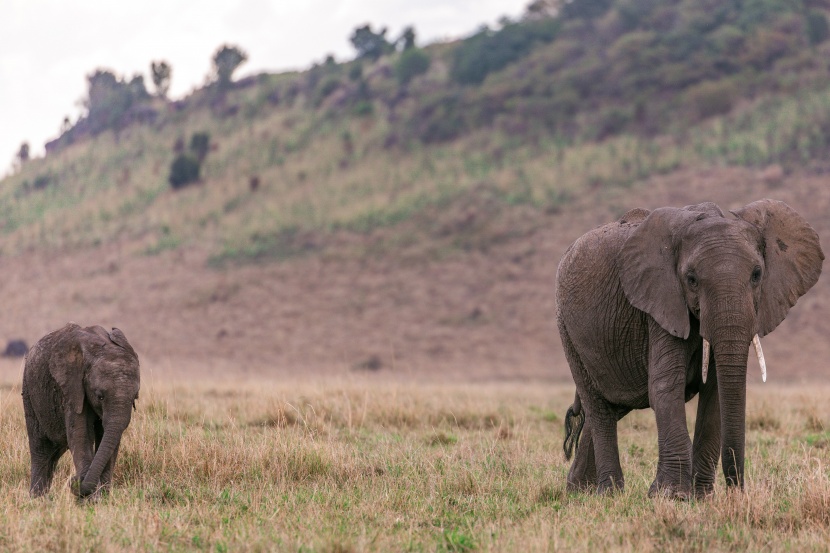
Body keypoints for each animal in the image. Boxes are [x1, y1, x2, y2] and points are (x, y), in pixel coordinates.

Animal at [21, 322, 140, 498]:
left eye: (135, 398)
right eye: (100, 396)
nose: (73, 481)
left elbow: (109, 437)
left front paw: (103, 497)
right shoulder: (72, 388)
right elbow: (81, 434)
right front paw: (91, 499)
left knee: (54, 452)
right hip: (29, 391)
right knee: (40, 448)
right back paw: (37, 499)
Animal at [560, 201, 824, 498]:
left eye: (757, 274)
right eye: (691, 279)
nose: (737, 491)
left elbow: (716, 391)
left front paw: (701, 497)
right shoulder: (661, 304)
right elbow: (665, 386)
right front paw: (671, 496)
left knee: (613, 406)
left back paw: (579, 491)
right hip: (567, 330)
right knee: (599, 408)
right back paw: (609, 493)